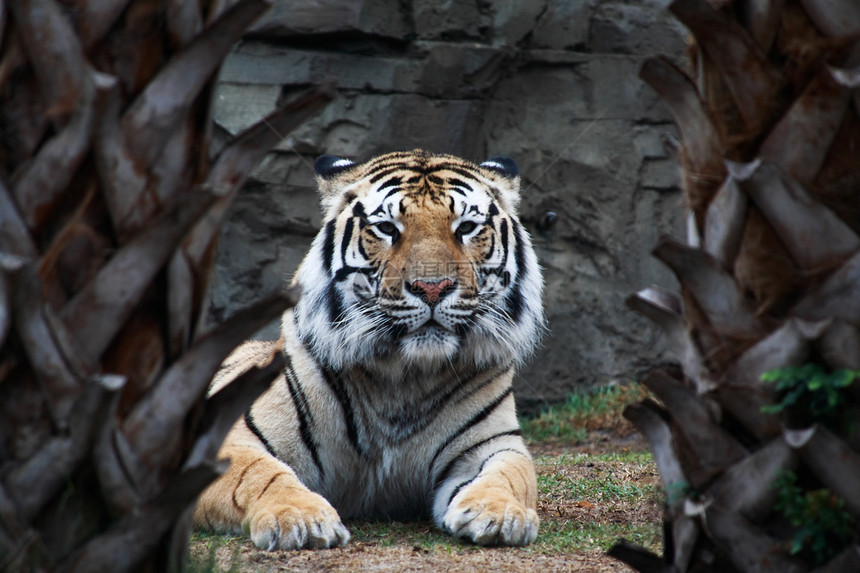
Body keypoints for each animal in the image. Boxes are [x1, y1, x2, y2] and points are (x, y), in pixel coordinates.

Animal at [194, 149, 544, 548]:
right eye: (388, 229)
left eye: (466, 228)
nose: (432, 287)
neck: (405, 375)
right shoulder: (225, 439)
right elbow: (259, 474)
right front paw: (298, 517)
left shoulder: (492, 444)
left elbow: (509, 476)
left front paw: (499, 514)